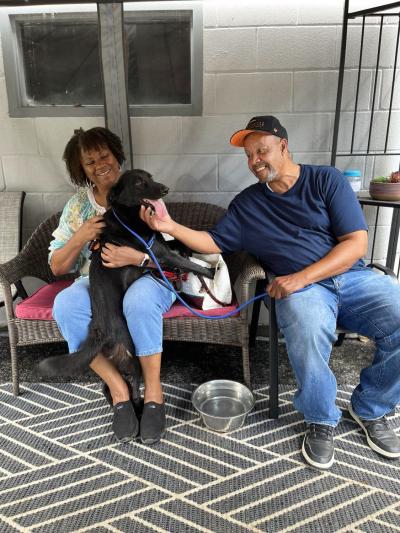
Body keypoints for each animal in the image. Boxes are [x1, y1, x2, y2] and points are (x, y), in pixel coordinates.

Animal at [39, 168, 216, 388]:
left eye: (150, 177)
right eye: (139, 182)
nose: (166, 189)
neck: (129, 217)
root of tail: (100, 331)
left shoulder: (161, 246)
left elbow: (176, 241)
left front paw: (186, 249)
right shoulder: (160, 254)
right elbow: (193, 265)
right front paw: (211, 272)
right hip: (129, 352)